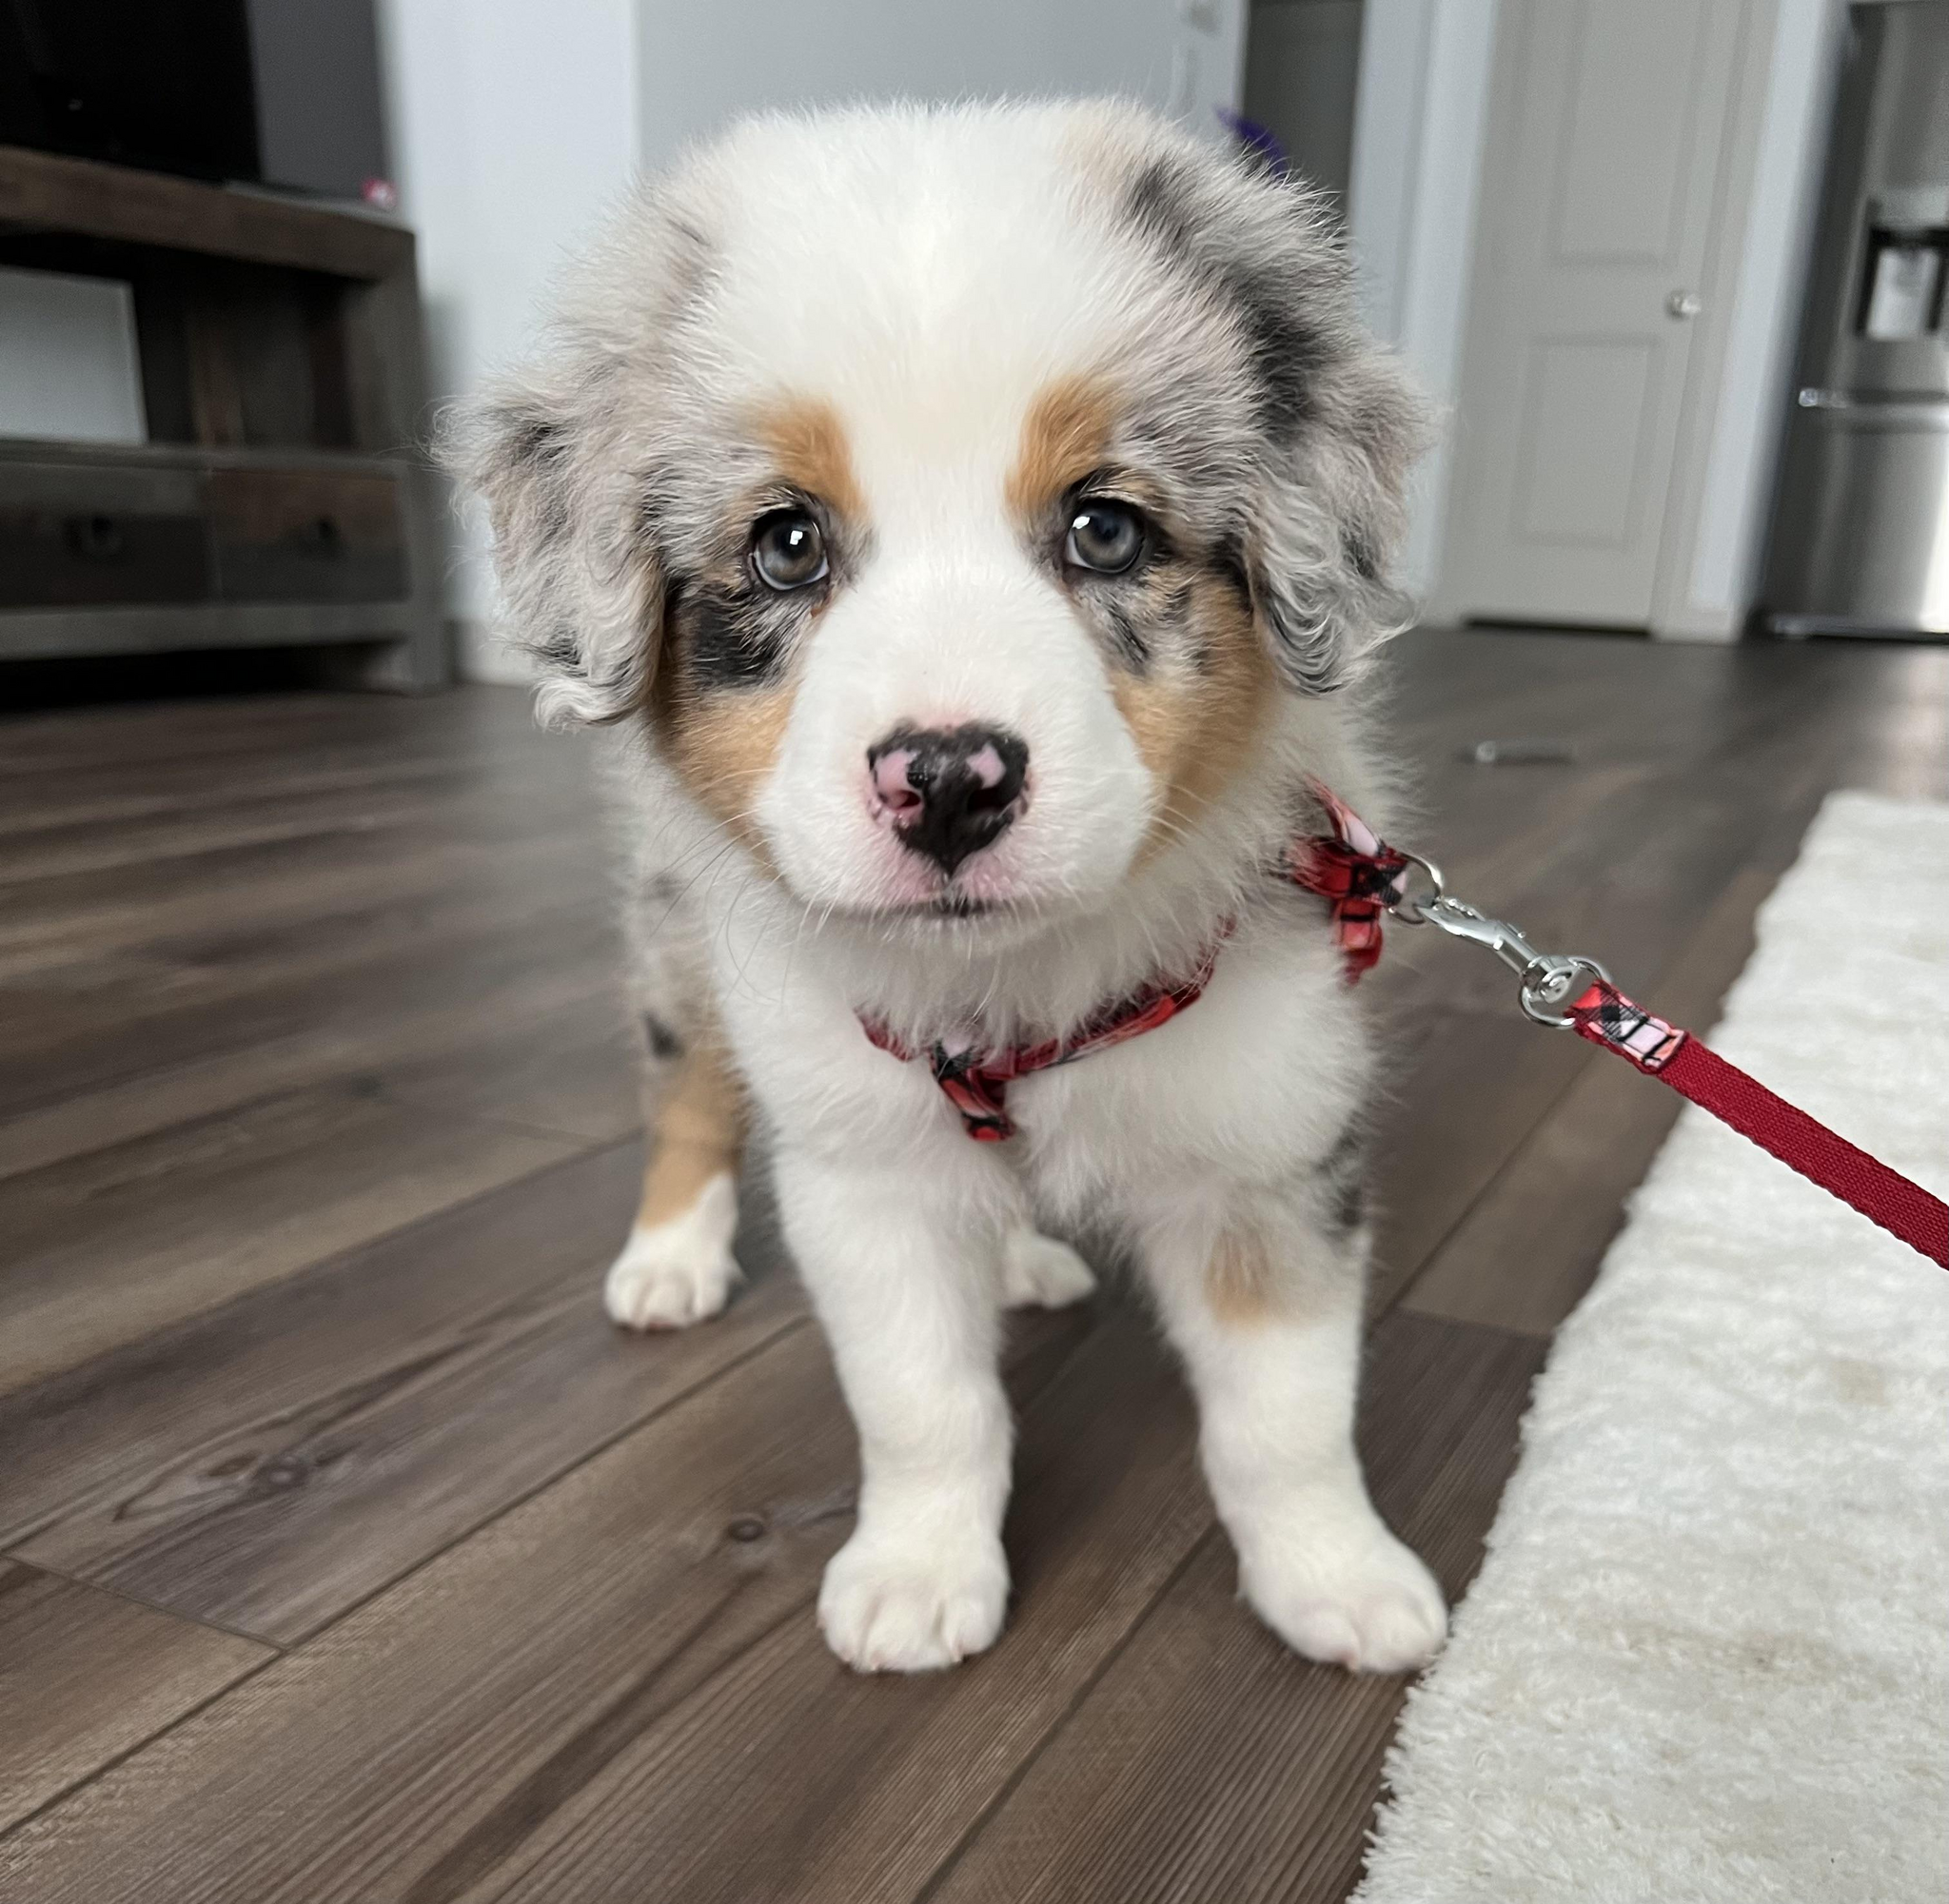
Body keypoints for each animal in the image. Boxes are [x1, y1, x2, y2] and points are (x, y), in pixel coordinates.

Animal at [448, 104, 1442, 1668]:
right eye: (785, 543)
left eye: (1106, 528)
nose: (952, 781)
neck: (1009, 987)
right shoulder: (863, 1171)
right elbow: (923, 1402)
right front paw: (918, 1574)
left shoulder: (1271, 1143)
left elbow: (1286, 1415)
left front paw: (1335, 1578)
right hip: (681, 941)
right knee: (687, 1094)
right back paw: (668, 1259)